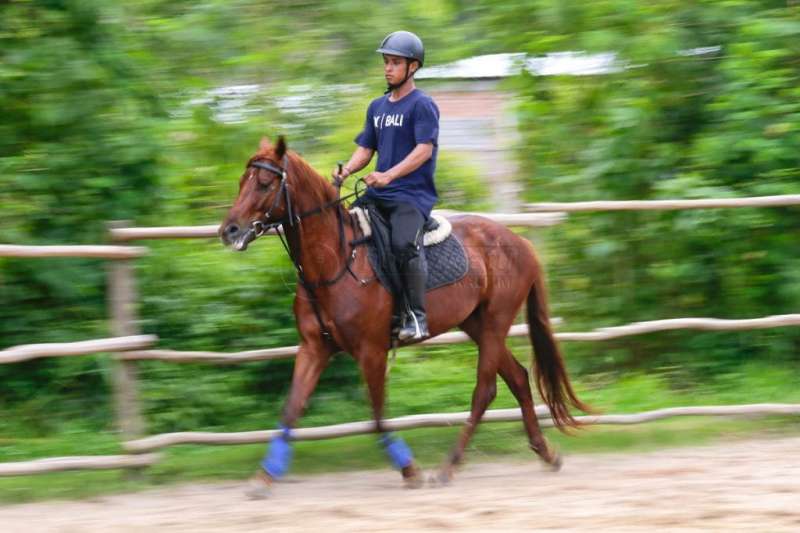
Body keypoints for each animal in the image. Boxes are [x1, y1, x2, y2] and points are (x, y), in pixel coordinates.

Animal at [219, 136, 588, 494]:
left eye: (264, 183)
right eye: (241, 181)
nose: (229, 231)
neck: (337, 260)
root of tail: (520, 242)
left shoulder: (371, 351)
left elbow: (378, 415)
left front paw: (410, 469)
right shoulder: (314, 348)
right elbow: (291, 410)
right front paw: (265, 476)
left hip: (497, 321)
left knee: (485, 390)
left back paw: (448, 467)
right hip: (476, 323)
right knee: (518, 378)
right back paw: (545, 452)